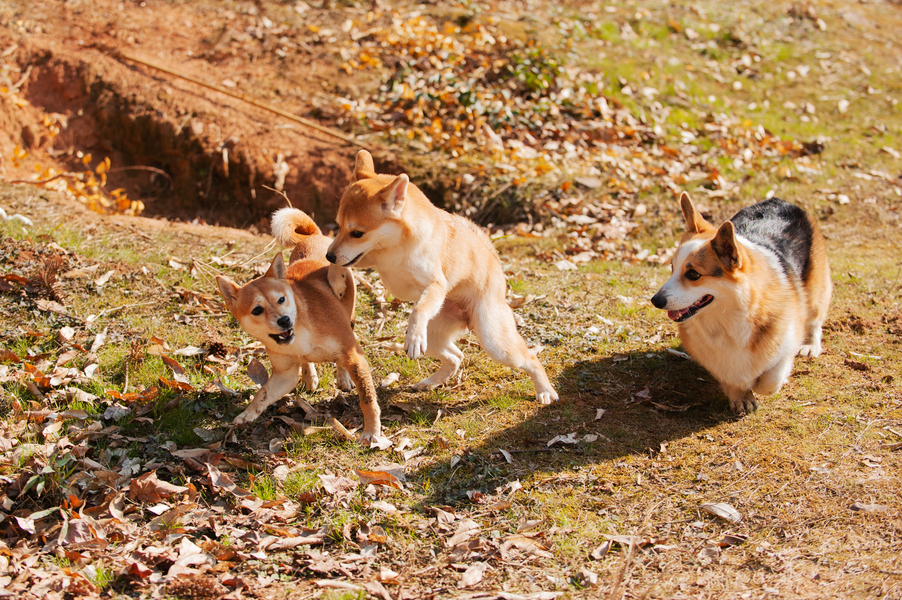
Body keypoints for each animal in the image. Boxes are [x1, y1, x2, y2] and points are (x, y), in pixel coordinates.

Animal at [216, 207, 381, 441]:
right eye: (257, 310)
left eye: (281, 299)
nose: (284, 320)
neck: (304, 328)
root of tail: (315, 236)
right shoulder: (285, 374)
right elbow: (263, 393)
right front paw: (248, 414)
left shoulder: (353, 355)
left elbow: (367, 399)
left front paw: (372, 430)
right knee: (306, 361)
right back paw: (310, 375)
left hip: (348, 316)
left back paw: (342, 377)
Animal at [325, 149, 558, 404]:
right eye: (338, 226)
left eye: (357, 233)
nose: (329, 255)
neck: (393, 249)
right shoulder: (365, 257)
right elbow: (339, 262)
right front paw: (335, 278)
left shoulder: (435, 286)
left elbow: (418, 310)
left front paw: (413, 336)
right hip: (436, 336)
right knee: (456, 357)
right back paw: (429, 383)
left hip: (494, 342)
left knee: (530, 359)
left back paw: (545, 391)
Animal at [650, 193, 832, 413]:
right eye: (672, 268)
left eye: (693, 274)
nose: (655, 300)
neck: (727, 319)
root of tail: (780, 201)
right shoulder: (716, 359)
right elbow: (731, 378)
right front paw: (742, 397)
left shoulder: (786, 345)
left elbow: (770, 381)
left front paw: (758, 384)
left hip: (815, 292)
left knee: (815, 320)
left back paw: (810, 345)